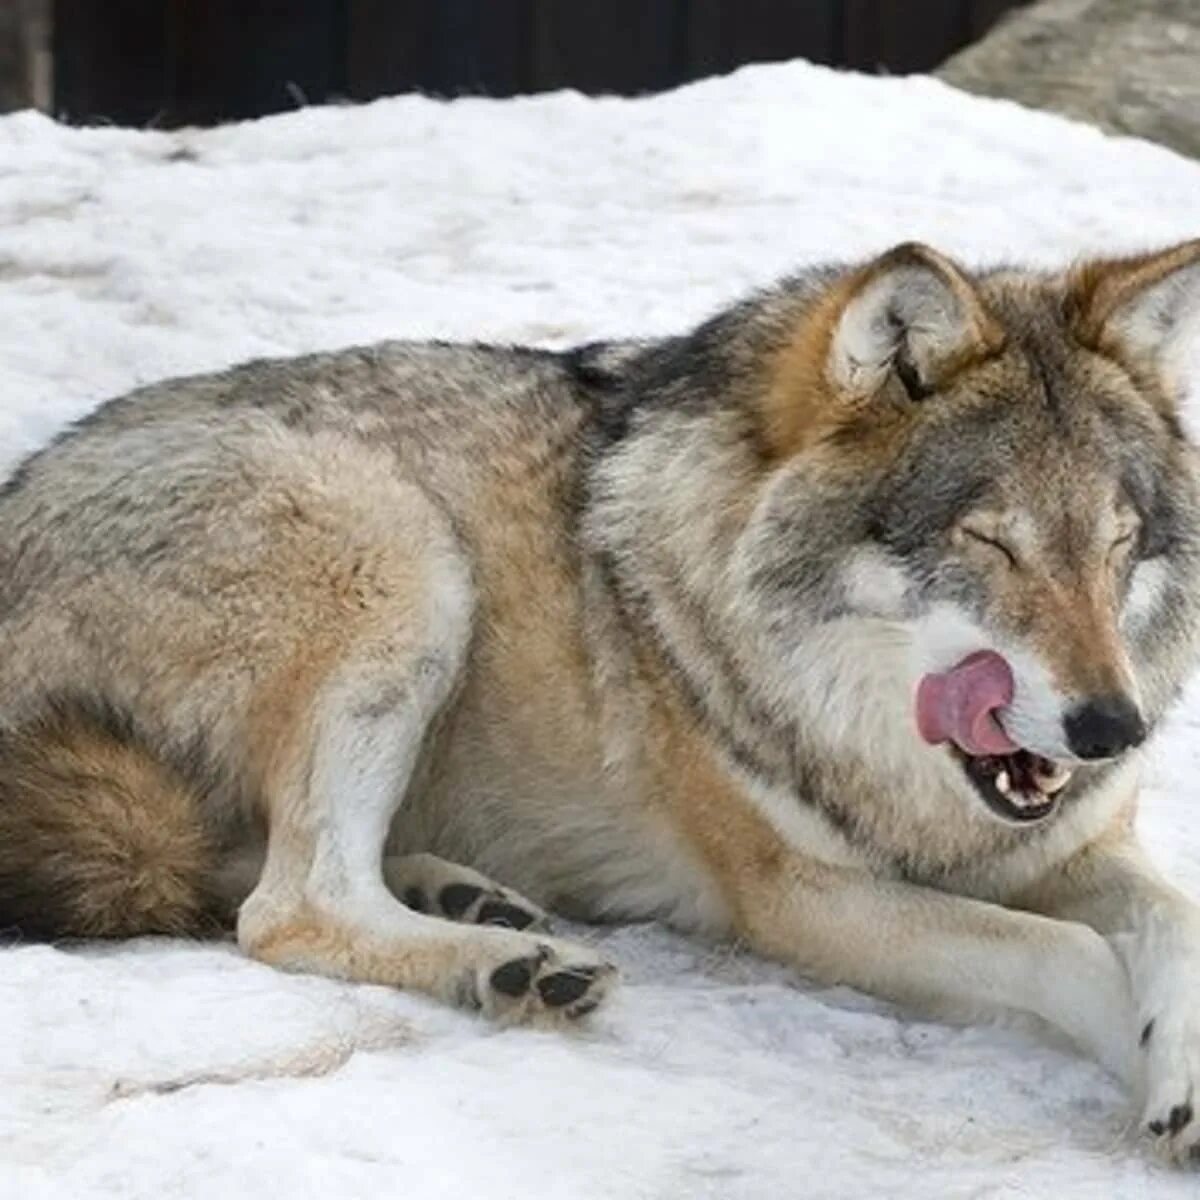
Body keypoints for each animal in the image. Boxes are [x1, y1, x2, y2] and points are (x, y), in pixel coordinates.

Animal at [2, 236, 1200, 1161]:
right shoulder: (803, 898)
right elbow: (1068, 953)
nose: (1114, 728)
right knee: (286, 906)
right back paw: (510, 965)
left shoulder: (1074, 845)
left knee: (247, 874)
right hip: (403, 552)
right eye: (989, 541)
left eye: (1119, 544)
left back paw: (467, 902)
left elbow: (1174, 922)